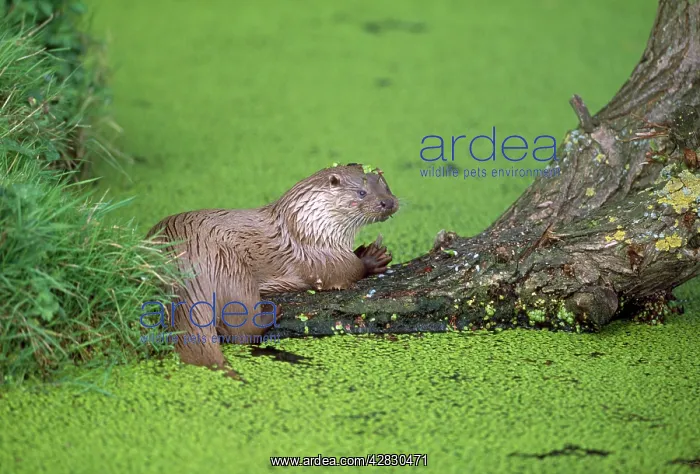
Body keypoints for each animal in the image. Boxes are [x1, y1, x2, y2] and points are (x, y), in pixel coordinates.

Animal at [146, 163, 398, 372]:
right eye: (361, 192)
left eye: (386, 186)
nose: (388, 202)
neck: (311, 229)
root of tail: (183, 260)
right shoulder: (318, 257)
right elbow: (347, 270)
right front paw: (372, 258)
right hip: (232, 268)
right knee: (242, 332)